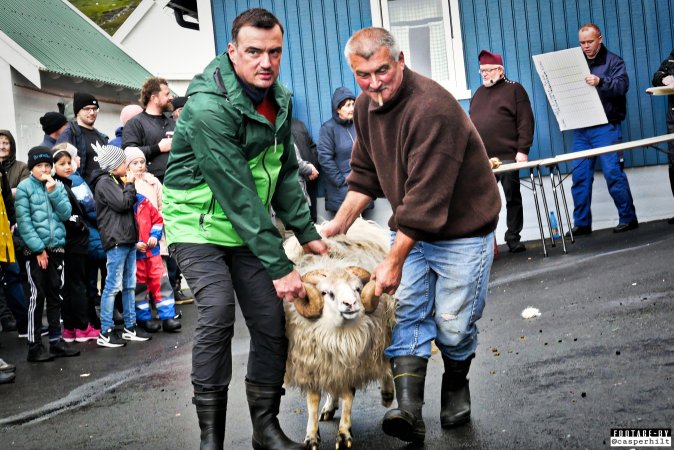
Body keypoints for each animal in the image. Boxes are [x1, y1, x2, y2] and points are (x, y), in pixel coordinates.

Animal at [282, 219, 394, 450]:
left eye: (358, 289)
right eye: (326, 293)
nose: (351, 304)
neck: (337, 335)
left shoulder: (354, 361)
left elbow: (348, 396)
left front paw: (344, 434)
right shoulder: (314, 363)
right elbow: (312, 400)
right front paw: (311, 436)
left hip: (386, 332)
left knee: (388, 361)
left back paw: (387, 393)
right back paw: (329, 406)